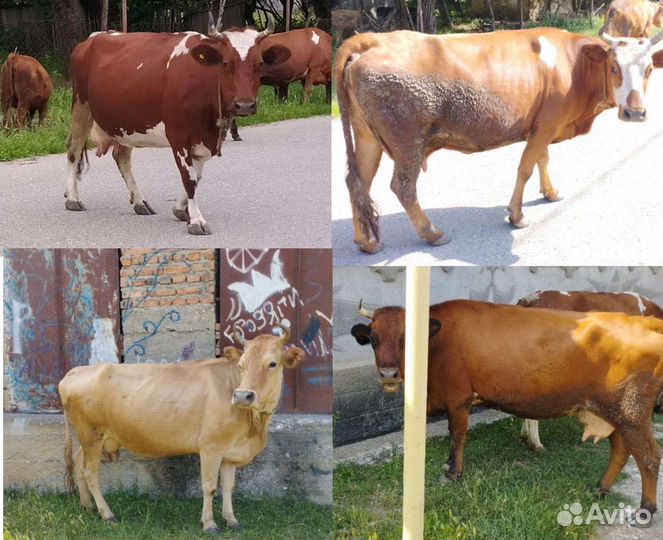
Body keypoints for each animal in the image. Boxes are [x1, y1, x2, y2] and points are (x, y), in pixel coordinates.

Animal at [58, 324, 304, 533]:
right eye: (241, 365)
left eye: (272, 363)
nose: (243, 395)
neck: (254, 428)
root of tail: (75, 371)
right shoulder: (211, 447)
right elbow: (209, 486)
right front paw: (209, 524)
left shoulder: (230, 452)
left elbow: (228, 486)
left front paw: (232, 520)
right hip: (91, 435)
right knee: (90, 472)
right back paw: (107, 514)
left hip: (90, 438)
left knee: (79, 463)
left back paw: (87, 506)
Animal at [64, 6, 291, 235]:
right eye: (226, 63)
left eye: (259, 64)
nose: (244, 105)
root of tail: (95, 37)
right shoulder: (179, 135)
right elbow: (188, 179)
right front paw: (196, 220)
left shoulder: (204, 138)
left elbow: (196, 177)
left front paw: (182, 209)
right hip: (81, 107)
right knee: (74, 151)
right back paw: (73, 198)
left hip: (124, 125)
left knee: (122, 157)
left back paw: (139, 202)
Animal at [336, 28, 663, 254]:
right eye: (614, 68)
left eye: (649, 69)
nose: (635, 112)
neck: (573, 64)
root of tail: (371, 39)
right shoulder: (546, 125)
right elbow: (526, 167)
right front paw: (516, 215)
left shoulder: (542, 126)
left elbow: (543, 159)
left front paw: (550, 192)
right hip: (407, 140)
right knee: (401, 186)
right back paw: (432, 233)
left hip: (367, 136)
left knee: (357, 182)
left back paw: (365, 241)